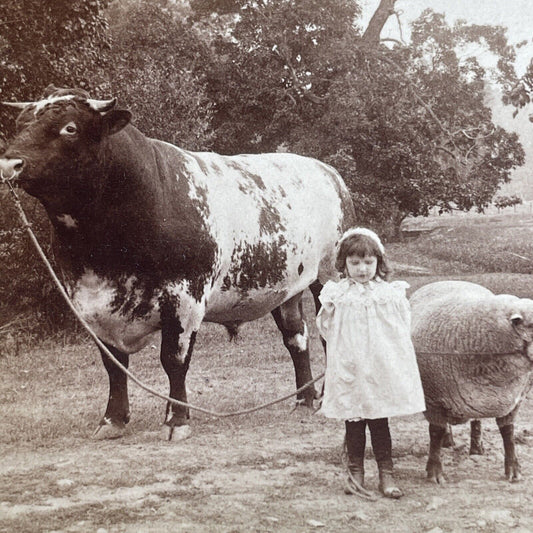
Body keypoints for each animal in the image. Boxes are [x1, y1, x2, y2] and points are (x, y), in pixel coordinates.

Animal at [408, 280, 532, 484]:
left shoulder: (513, 401)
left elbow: (508, 434)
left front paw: (513, 470)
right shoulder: (432, 399)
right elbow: (435, 432)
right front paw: (435, 472)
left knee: (476, 421)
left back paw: (476, 447)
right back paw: (448, 440)